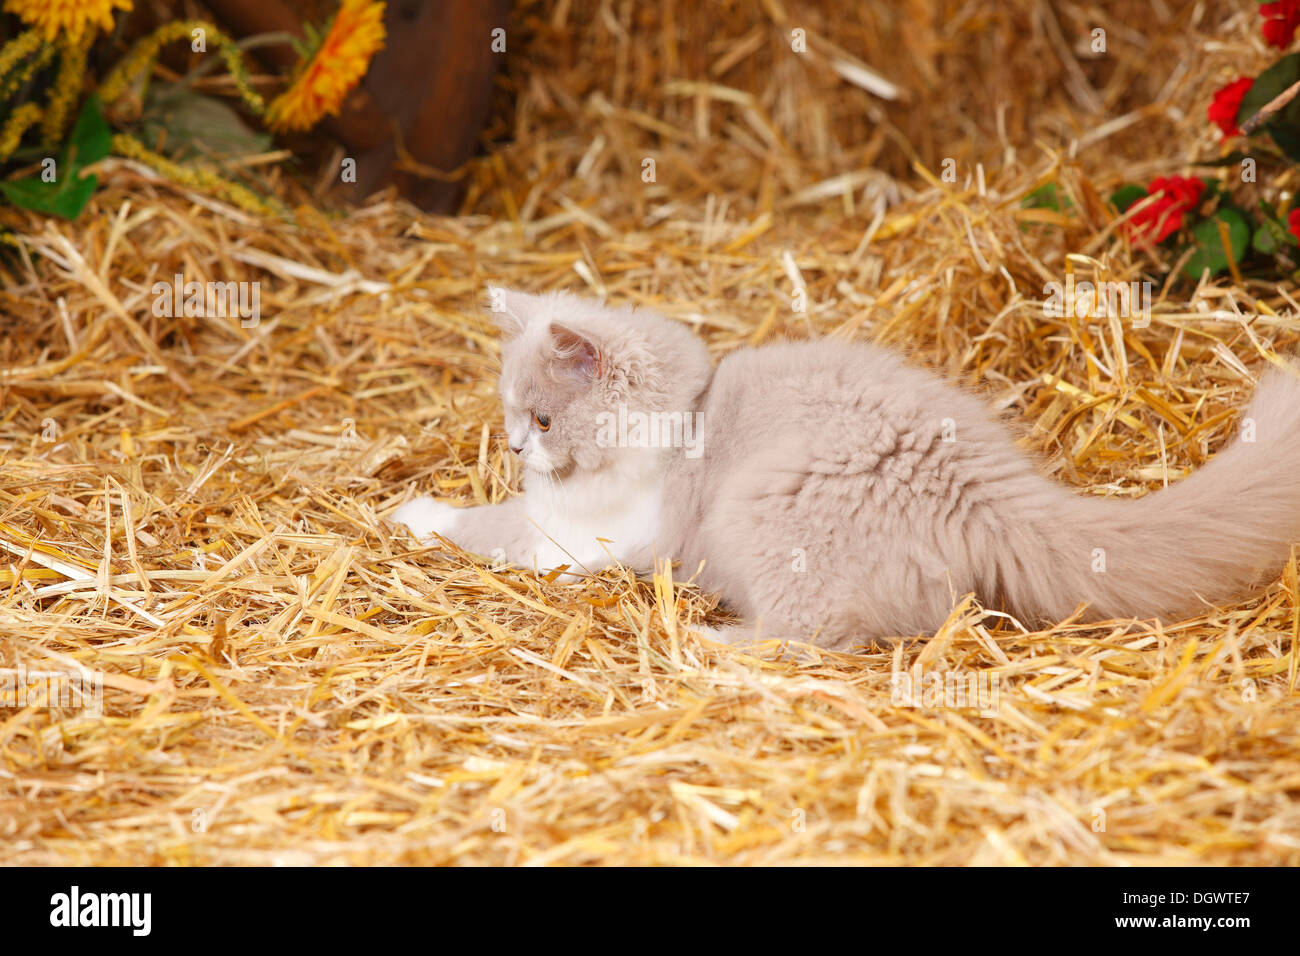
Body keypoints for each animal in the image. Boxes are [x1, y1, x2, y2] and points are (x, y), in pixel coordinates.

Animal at [387, 287, 1300, 655]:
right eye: (510, 418)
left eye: (542, 420)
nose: (515, 449)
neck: (685, 419)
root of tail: (983, 488)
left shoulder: (585, 534)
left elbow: (487, 523)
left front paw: (411, 513)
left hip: (765, 513)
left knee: (809, 638)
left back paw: (706, 638)